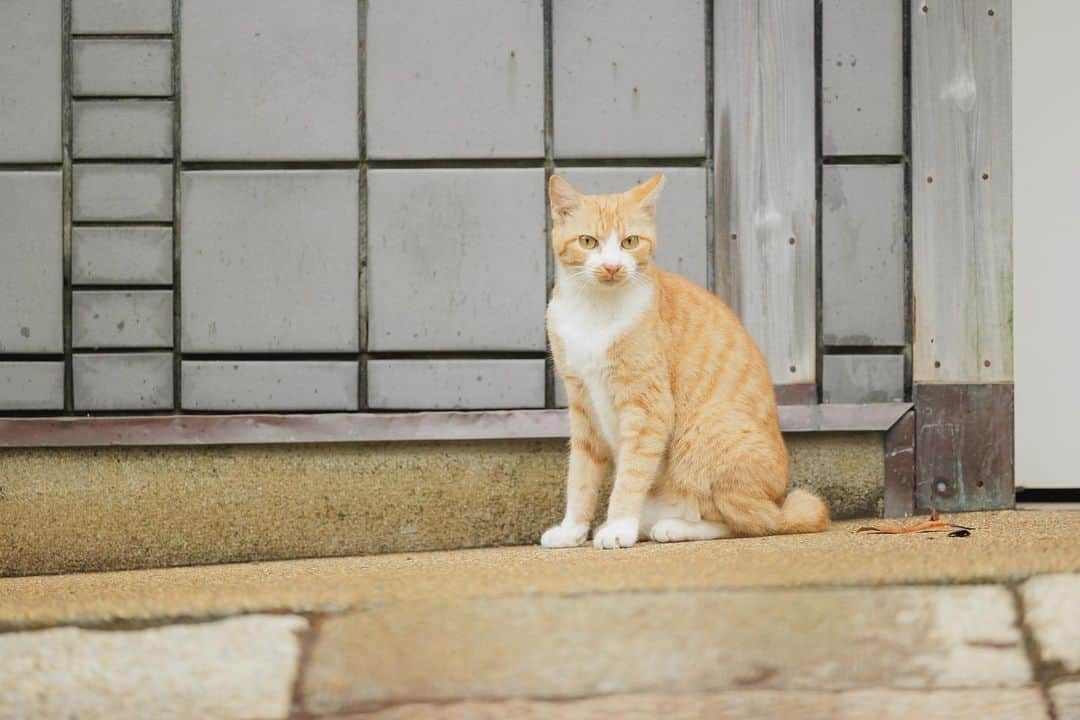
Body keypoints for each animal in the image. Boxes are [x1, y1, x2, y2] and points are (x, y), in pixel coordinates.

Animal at [544, 174, 829, 552]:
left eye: (630, 242)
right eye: (588, 242)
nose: (612, 267)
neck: (595, 309)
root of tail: (778, 500)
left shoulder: (648, 409)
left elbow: (630, 476)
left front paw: (618, 526)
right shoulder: (582, 406)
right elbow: (580, 477)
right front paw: (572, 529)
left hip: (707, 428)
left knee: (747, 521)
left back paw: (672, 527)